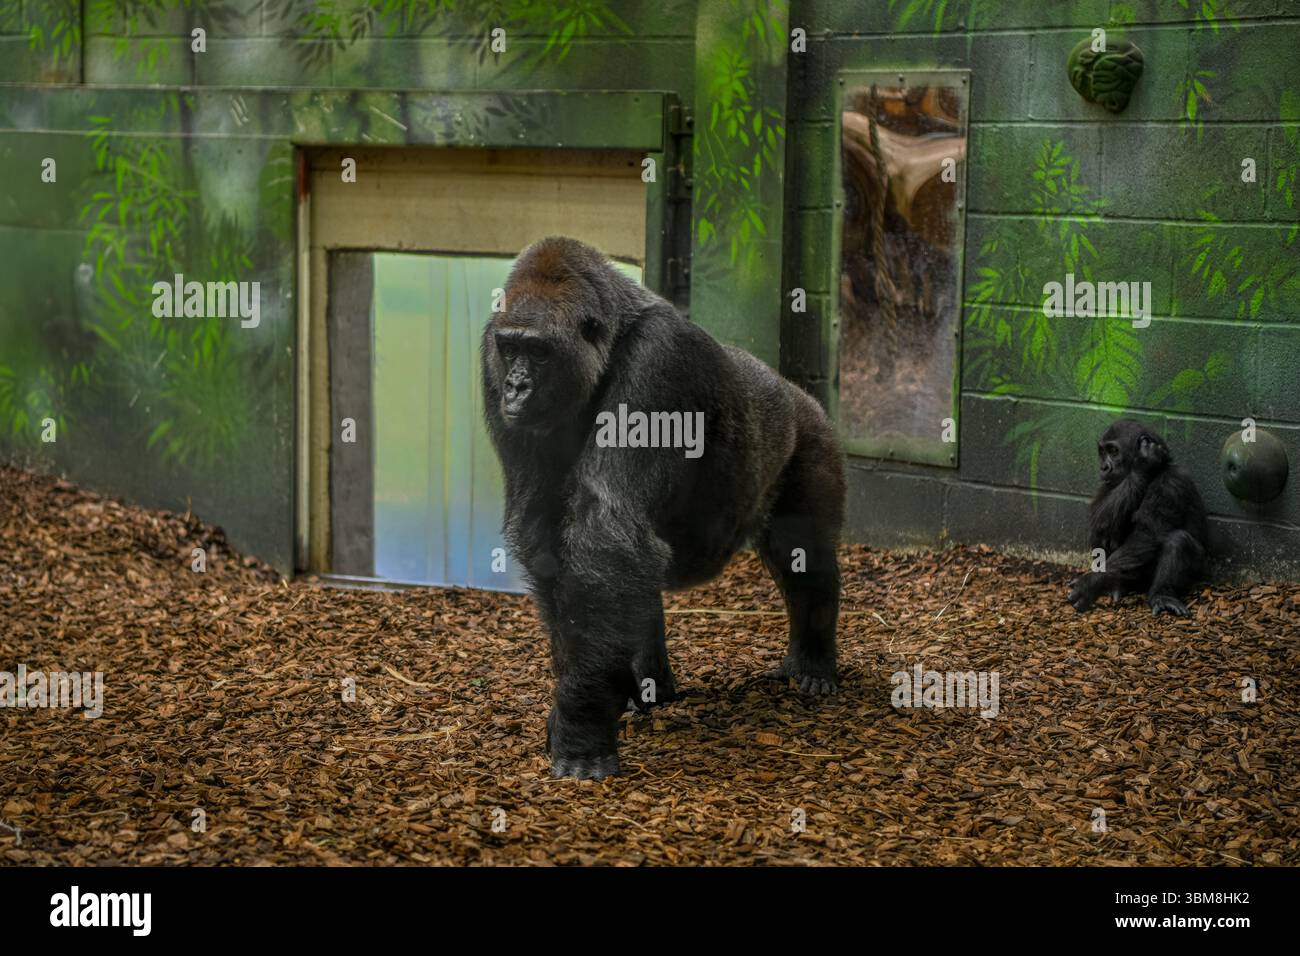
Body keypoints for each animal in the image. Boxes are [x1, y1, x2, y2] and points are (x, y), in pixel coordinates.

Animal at [481, 237, 846, 779]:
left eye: (539, 352)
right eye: (511, 349)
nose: (516, 388)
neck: (611, 341)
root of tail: (798, 391)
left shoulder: (660, 360)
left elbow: (605, 531)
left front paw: (582, 720)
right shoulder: (489, 359)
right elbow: (545, 535)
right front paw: (588, 694)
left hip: (812, 437)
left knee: (803, 554)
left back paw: (813, 660)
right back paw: (652, 685)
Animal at [1067, 420, 1208, 617]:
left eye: (1113, 451)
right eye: (1103, 452)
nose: (1103, 467)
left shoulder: (1172, 482)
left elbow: (1148, 534)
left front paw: (1091, 582)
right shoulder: (1107, 484)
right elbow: (1099, 521)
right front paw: (1144, 464)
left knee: (1178, 541)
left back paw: (1162, 594)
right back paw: (1117, 585)